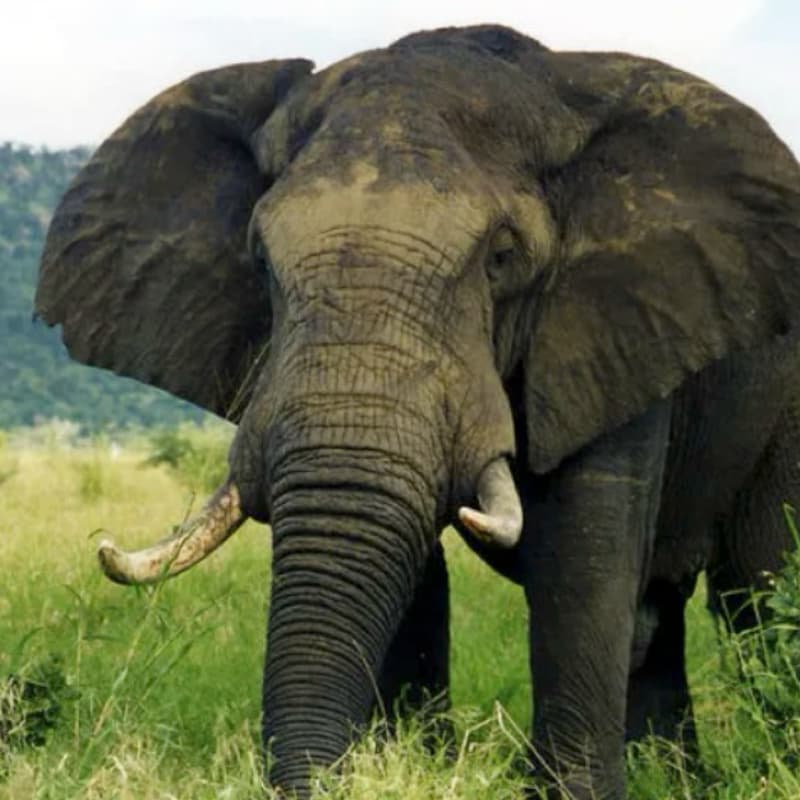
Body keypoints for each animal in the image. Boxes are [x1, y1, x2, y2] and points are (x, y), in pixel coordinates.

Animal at [35, 23, 800, 800]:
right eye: (259, 259)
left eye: (501, 257)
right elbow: (405, 560)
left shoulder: (610, 317)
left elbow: (583, 555)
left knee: (759, 584)